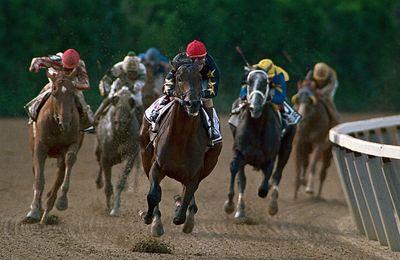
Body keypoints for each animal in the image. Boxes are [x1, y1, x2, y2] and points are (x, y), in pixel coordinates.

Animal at [25, 68, 83, 223]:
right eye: (55, 92)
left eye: (72, 93)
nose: (65, 123)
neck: (57, 125)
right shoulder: (40, 147)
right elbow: (39, 179)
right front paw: (34, 210)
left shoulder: (72, 143)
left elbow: (69, 161)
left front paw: (62, 201)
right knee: (37, 171)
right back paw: (40, 210)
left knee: (59, 174)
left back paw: (47, 211)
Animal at [94, 87, 140, 215]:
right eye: (115, 111)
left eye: (129, 112)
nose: (120, 123)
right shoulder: (106, 157)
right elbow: (108, 185)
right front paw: (109, 206)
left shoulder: (130, 155)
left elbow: (121, 181)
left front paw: (115, 208)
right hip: (99, 151)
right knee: (99, 162)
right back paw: (99, 183)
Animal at [140, 62, 222, 237]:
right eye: (179, 78)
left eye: (199, 78)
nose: (193, 103)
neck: (181, 137)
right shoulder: (157, 166)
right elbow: (153, 194)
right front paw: (150, 218)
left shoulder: (194, 174)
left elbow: (183, 208)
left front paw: (180, 206)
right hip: (145, 154)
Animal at [225, 69, 296, 219]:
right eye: (248, 83)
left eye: (265, 83)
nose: (255, 107)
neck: (257, 127)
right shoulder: (239, 152)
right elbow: (238, 174)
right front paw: (233, 207)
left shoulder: (270, 157)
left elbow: (263, 187)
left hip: (287, 146)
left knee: (277, 174)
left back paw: (273, 205)